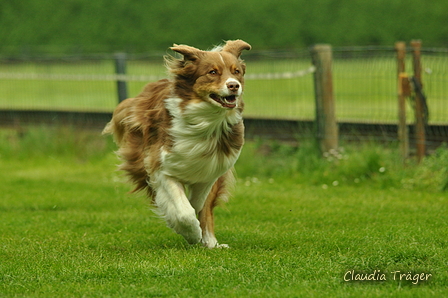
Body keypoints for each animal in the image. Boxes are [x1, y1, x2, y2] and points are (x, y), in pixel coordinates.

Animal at [102, 40, 252, 249]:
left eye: (236, 71)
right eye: (212, 72)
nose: (234, 86)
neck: (206, 120)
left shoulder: (212, 169)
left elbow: (200, 205)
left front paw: (205, 238)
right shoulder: (162, 168)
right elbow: (184, 211)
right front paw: (191, 233)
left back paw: (211, 242)